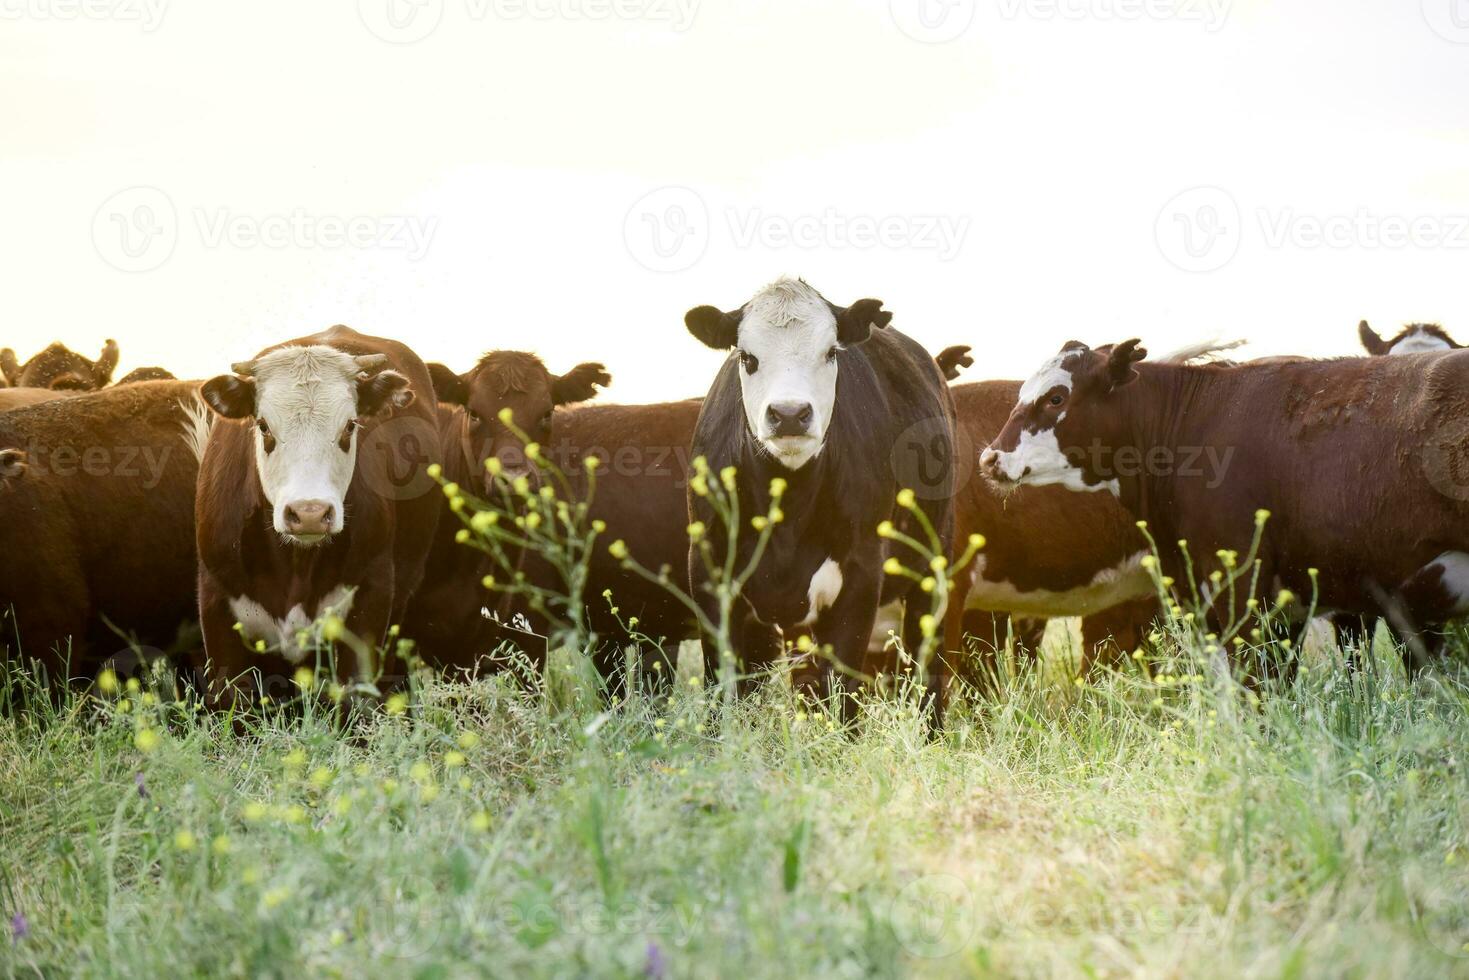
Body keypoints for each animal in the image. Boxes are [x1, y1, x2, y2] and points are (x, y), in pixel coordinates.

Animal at [193, 327, 440, 705]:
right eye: (263, 426)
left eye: (350, 426)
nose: (309, 513)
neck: (295, 563)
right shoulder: (216, 606)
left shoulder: (371, 602)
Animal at [684, 277, 957, 728]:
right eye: (747, 356)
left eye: (830, 352)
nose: (789, 414)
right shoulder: (708, 569)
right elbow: (724, 684)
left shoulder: (862, 572)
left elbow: (843, 690)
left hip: (933, 563)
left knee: (926, 664)